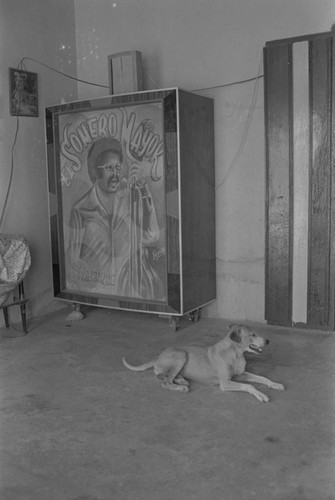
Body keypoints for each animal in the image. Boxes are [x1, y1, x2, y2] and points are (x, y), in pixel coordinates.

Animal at [123, 324, 286, 402]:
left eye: (256, 333)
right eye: (252, 335)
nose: (267, 341)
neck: (236, 353)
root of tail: (157, 357)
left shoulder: (240, 375)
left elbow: (262, 378)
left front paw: (275, 384)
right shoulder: (225, 383)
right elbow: (250, 386)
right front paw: (261, 394)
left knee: (163, 375)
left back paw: (181, 379)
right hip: (181, 355)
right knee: (165, 381)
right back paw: (180, 386)